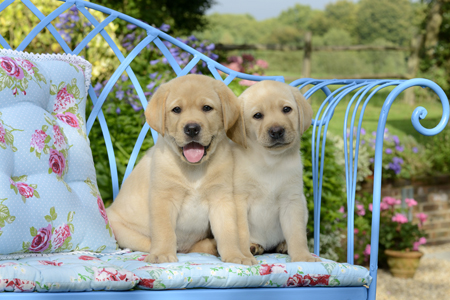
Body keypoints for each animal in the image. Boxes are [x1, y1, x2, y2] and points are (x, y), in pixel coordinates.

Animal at [104, 74, 253, 264]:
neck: (194, 170)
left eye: (207, 108)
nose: (192, 128)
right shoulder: (163, 198)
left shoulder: (222, 199)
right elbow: (164, 231)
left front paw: (235, 256)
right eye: (176, 110)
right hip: (123, 231)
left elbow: (228, 232)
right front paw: (162, 254)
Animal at [229, 80, 320, 262]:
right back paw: (254, 246)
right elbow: (242, 232)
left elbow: (297, 234)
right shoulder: (239, 200)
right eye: (257, 115)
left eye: (286, 109)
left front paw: (302, 256)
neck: (270, 161)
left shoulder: (291, 201)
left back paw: (283, 245)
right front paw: (243, 254)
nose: (277, 131)